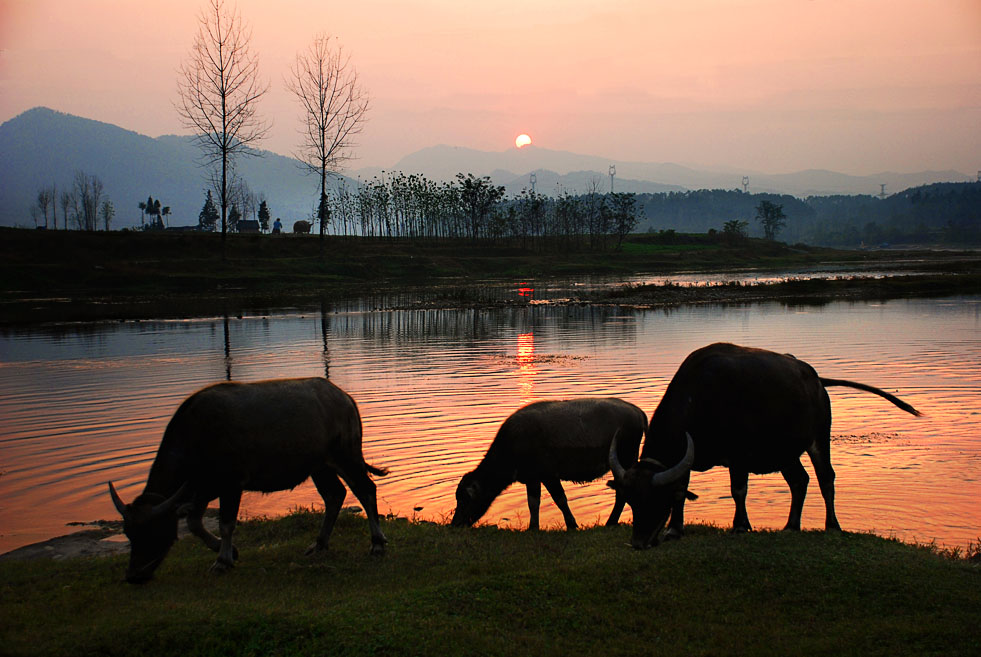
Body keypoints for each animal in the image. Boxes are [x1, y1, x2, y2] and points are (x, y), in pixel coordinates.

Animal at [105, 376, 384, 580]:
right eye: (129, 534)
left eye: (151, 532)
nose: (133, 575)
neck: (197, 434)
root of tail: (345, 398)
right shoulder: (202, 488)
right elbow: (194, 523)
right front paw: (229, 551)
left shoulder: (230, 485)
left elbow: (226, 523)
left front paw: (222, 560)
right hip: (320, 467)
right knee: (335, 495)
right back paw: (319, 544)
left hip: (345, 456)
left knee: (365, 489)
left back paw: (377, 544)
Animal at [450, 398, 648, 532]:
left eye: (465, 499)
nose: (455, 524)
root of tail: (636, 411)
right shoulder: (532, 478)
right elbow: (533, 502)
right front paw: (533, 527)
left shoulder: (548, 475)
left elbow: (559, 499)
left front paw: (571, 524)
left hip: (625, 457)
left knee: (622, 492)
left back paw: (611, 522)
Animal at [604, 344, 920, 548]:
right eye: (630, 500)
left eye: (655, 499)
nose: (638, 542)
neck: (702, 397)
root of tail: (815, 378)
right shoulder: (687, 459)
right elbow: (682, 491)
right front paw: (674, 530)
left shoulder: (739, 456)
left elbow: (738, 490)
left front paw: (740, 525)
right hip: (785, 452)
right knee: (799, 480)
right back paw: (791, 525)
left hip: (819, 438)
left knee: (825, 478)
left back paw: (832, 525)